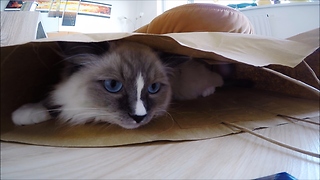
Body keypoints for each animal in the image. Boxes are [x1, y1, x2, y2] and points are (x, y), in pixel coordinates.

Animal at [11, 40, 222, 129]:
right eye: (113, 85)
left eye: (153, 89)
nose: (139, 117)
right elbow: (51, 102)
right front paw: (25, 114)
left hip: (189, 87)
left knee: (217, 78)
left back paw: (209, 90)